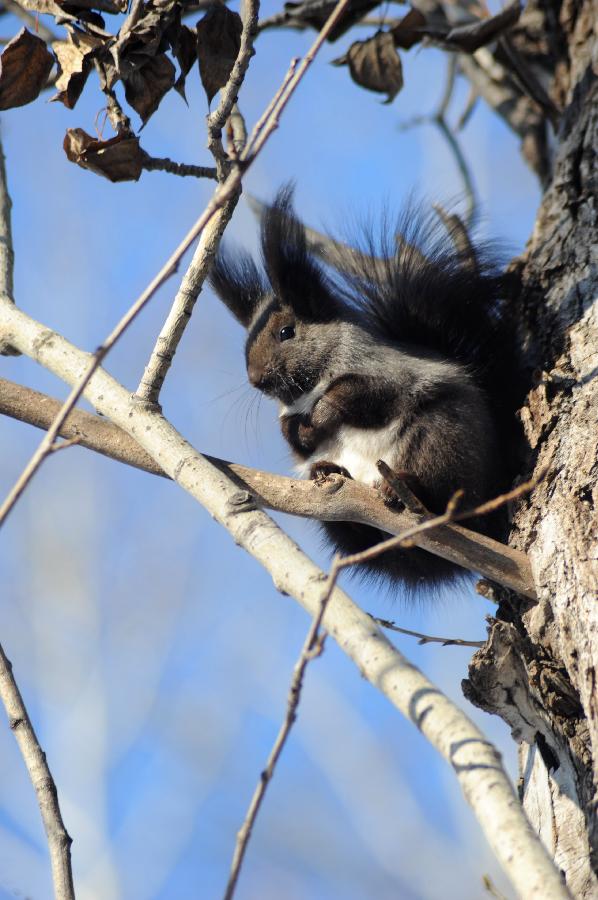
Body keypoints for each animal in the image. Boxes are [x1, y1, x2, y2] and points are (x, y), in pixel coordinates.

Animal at [210, 187, 520, 596]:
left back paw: (403, 486)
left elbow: (361, 396)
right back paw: (330, 474)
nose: (255, 378)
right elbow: (295, 440)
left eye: (286, 332)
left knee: (445, 490)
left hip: (444, 442)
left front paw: (324, 413)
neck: (309, 389)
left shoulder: (388, 374)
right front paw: (300, 431)